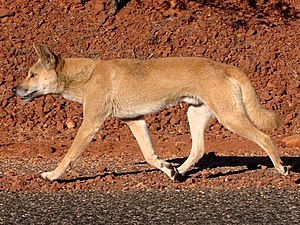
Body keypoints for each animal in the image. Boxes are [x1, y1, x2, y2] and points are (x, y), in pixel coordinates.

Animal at [12, 45, 290, 181]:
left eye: (32, 74)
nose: (14, 89)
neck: (86, 75)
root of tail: (224, 66)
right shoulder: (135, 120)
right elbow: (148, 156)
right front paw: (167, 168)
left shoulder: (91, 123)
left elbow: (68, 156)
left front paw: (52, 175)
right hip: (195, 114)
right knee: (198, 149)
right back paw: (179, 172)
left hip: (230, 117)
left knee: (264, 138)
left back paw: (281, 168)